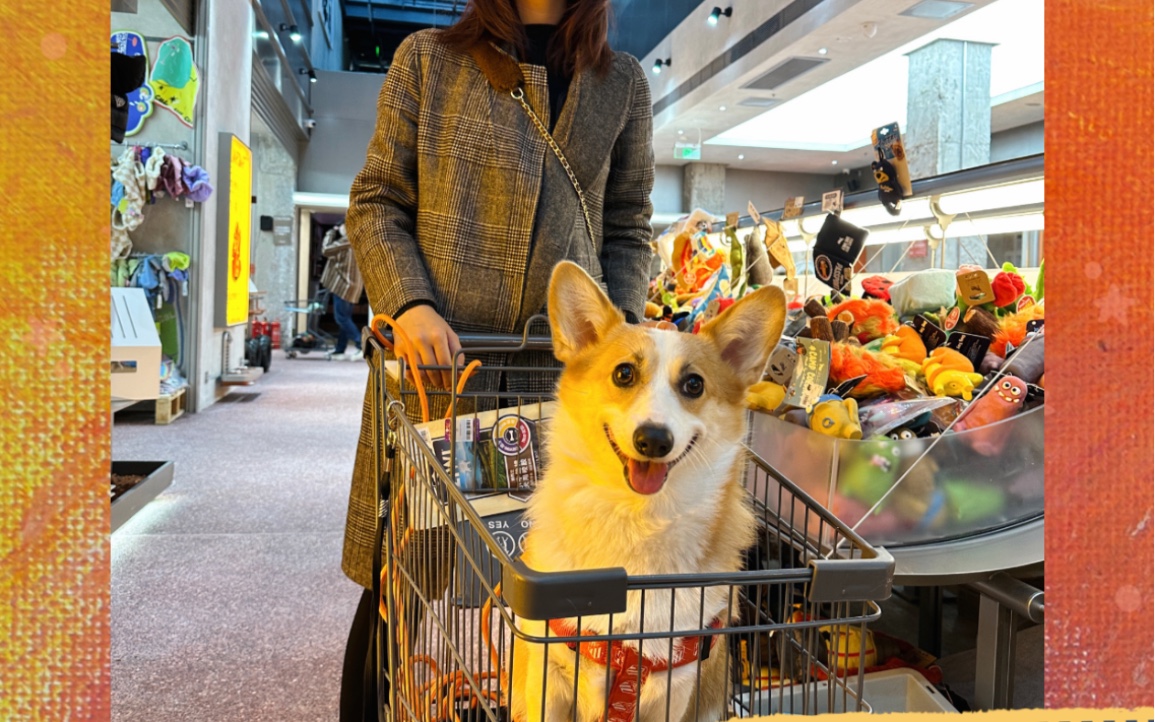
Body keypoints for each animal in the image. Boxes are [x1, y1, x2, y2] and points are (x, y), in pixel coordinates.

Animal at [512, 263, 790, 720]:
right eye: (624, 373)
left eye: (694, 384)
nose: (654, 440)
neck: (637, 519)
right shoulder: (548, 678)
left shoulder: (672, 689)